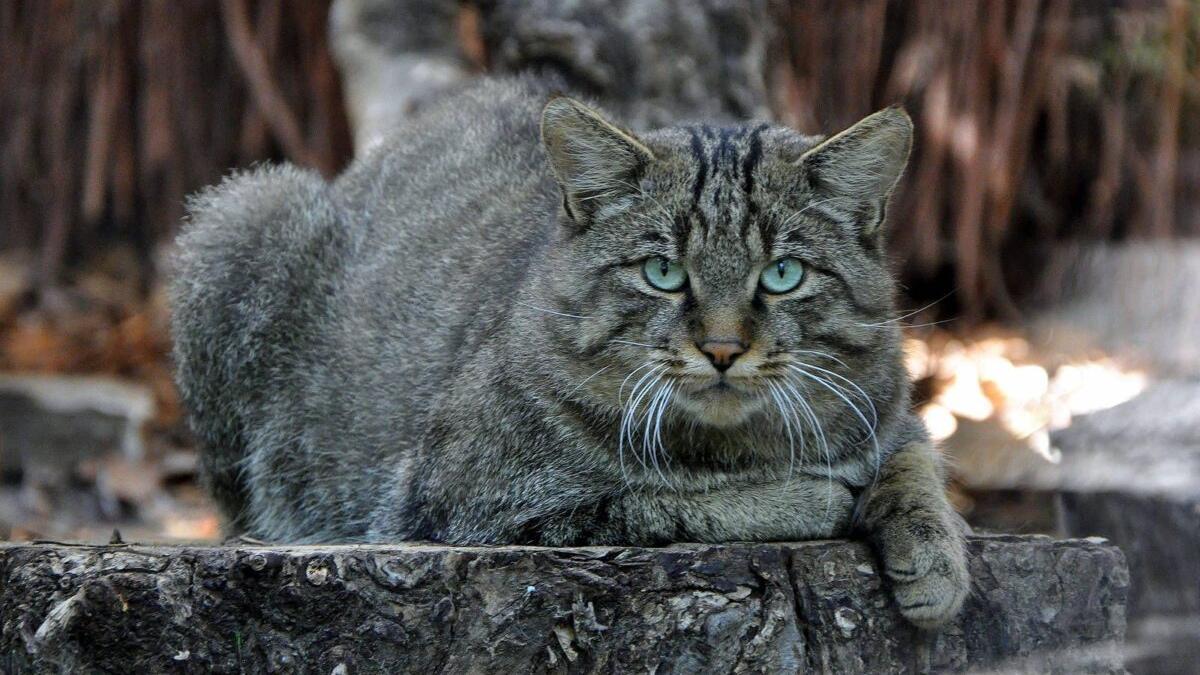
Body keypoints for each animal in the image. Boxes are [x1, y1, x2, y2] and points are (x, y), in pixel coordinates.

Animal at [174, 74, 969, 624]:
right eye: (662, 271)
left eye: (782, 274)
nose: (721, 348)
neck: (739, 444)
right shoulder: (476, 503)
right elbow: (664, 501)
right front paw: (809, 495)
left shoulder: (890, 407)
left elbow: (914, 462)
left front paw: (936, 552)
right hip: (243, 213)